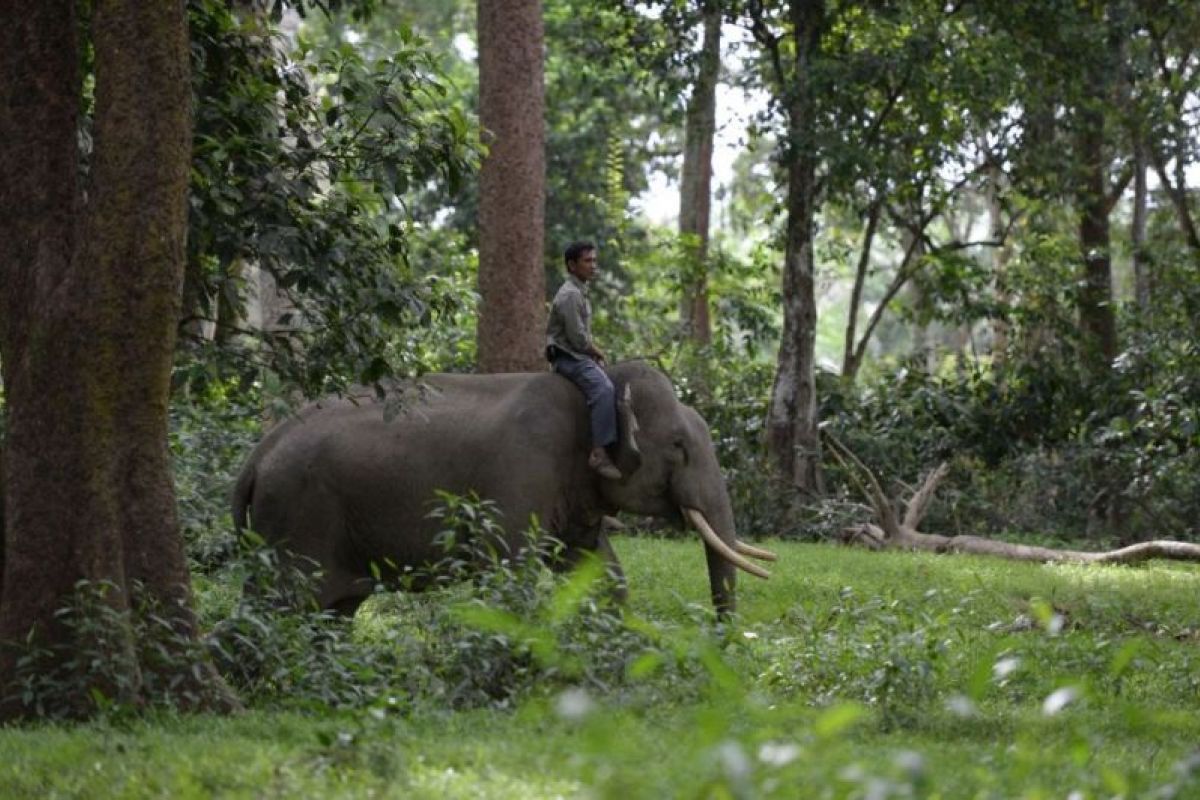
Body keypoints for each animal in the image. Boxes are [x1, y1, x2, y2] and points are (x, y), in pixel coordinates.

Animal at [229, 359, 772, 618]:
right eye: (679, 446)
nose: (723, 641)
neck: (594, 388)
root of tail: (256, 456)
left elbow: (602, 572)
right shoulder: (520, 475)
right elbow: (510, 570)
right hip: (298, 518)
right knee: (279, 608)